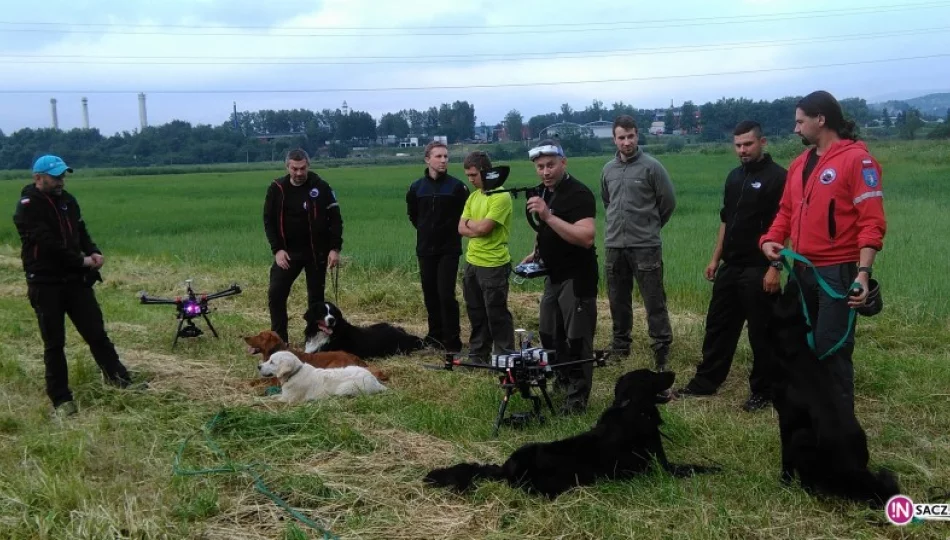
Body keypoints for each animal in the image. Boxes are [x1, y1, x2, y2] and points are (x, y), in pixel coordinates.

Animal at [428, 372, 716, 498]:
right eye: (653, 375)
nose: (673, 373)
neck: (632, 409)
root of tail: (505, 467)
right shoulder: (658, 468)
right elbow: (691, 468)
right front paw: (716, 469)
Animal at [768, 278, 904, 506]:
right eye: (796, 299)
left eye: (790, 298)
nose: (794, 280)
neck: (797, 348)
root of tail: (855, 471)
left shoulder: (787, 420)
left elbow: (785, 457)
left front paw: (784, 481)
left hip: (802, 437)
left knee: (809, 482)